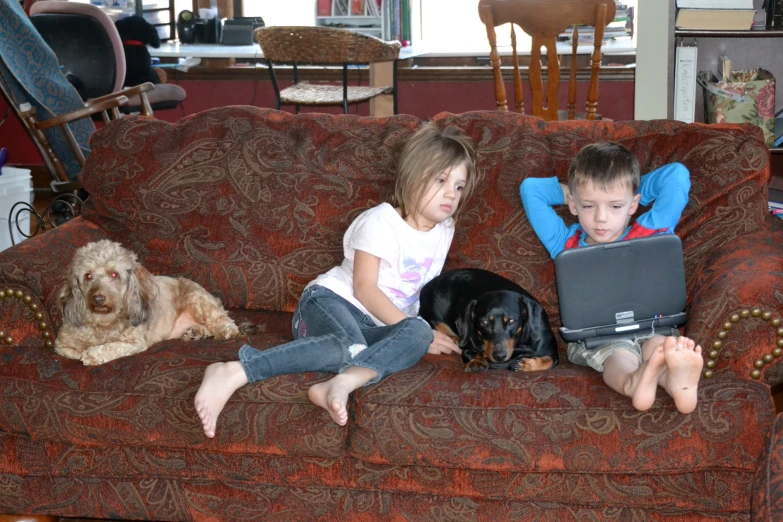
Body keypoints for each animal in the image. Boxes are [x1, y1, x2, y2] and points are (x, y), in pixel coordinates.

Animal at [54, 239, 239, 364]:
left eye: (114, 274)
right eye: (88, 276)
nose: (99, 299)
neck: (102, 322)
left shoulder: (135, 343)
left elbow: (111, 347)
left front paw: (92, 354)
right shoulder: (61, 344)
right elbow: (71, 351)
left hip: (197, 299)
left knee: (223, 321)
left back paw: (225, 331)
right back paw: (195, 332)